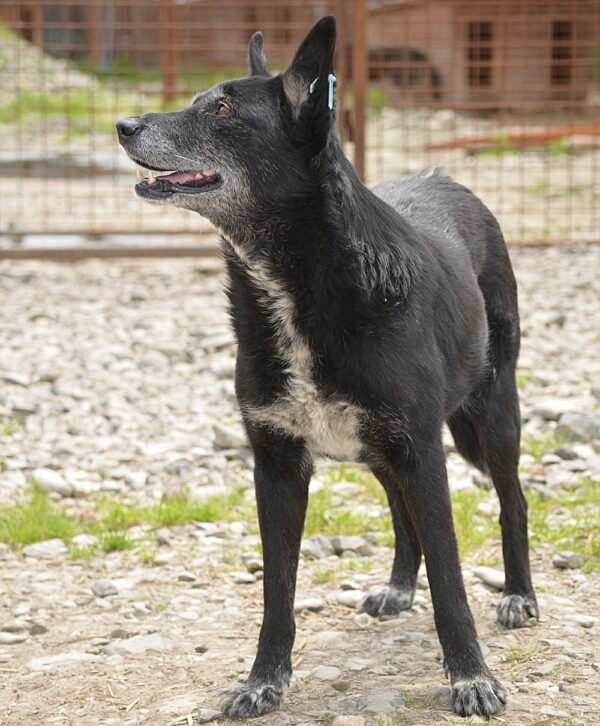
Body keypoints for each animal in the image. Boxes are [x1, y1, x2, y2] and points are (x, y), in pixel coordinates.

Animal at [115, 17, 536, 724]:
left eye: (222, 110)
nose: (122, 125)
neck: (299, 284)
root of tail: (446, 176)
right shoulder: (278, 463)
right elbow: (277, 591)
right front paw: (263, 680)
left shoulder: (424, 450)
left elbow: (452, 584)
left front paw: (472, 677)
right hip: (381, 447)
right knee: (400, 512)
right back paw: (398, 587)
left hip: (491, 413)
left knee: (514, 500)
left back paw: (519, 595)